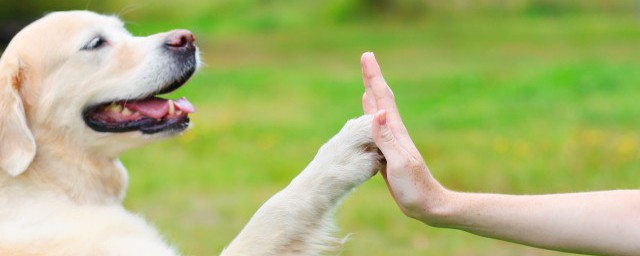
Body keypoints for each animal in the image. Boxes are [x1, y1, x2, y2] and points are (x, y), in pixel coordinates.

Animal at [0, 10, 380, 256]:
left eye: (124, 31)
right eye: (95, 43)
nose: (186, 39)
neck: (48, 183)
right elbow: (277, 210)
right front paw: (343, 153)